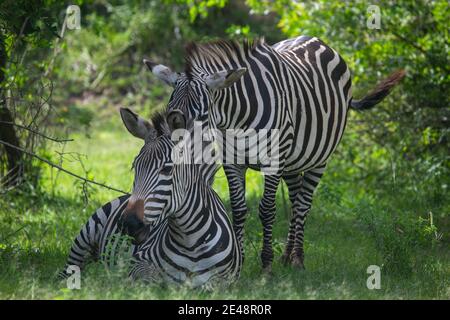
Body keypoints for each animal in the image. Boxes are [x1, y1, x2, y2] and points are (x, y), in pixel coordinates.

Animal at [62, 109, 243, 286]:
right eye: (134, 167)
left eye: (167, 169)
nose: (129, 224)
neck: (190, 243)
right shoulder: (137, 262)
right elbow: (151, 281)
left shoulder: (228, 280)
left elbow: (209, 284)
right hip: (85, 236)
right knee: (68, 270)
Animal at [146, 35, 406, 272]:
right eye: (169, 113)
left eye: (202, 115)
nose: (175, 157)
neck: (235, 120)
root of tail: (316, 40)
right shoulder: (232, 161)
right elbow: (238, 209)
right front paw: (238, 263)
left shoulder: (273, 161)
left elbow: (267, 210)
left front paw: (266, 265)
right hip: (292, 162)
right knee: (295, 200)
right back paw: (287, 256)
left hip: (319, 158)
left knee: (303, 204)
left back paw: (298, 259)